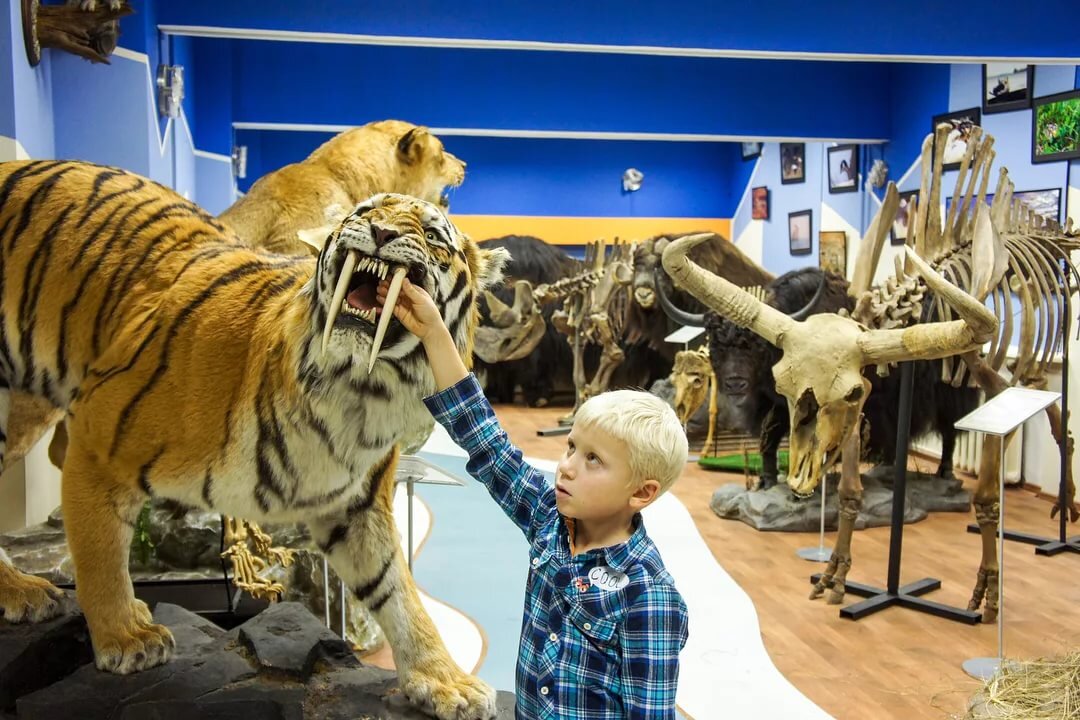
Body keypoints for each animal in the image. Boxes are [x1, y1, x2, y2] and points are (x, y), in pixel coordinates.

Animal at [0, 160, 505, 716]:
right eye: (364, 211)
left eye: (433, 234)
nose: (380, 232)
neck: (354, 391)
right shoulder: (97, 439)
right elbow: (100, 554)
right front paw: (126, 637)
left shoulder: (358, 506)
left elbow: (396, 588)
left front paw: (444, 679)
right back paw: (29, 592)